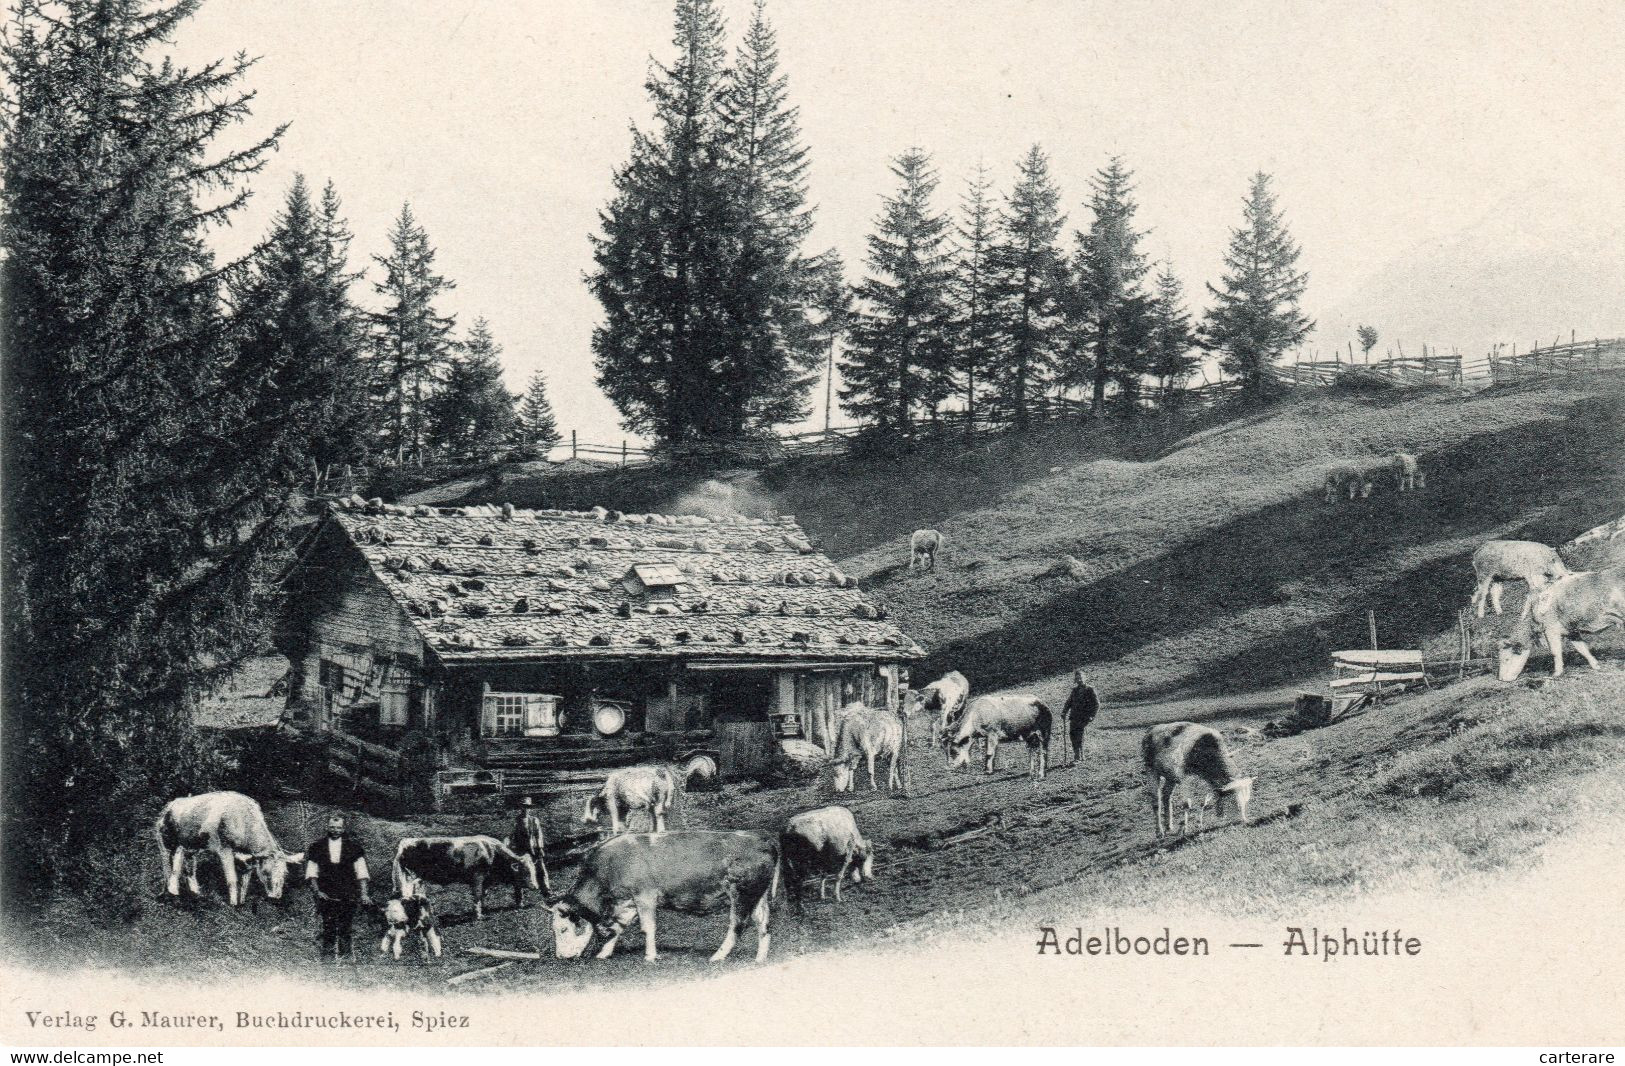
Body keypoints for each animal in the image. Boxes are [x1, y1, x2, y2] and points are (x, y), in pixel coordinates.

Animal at [155, 786, 305, 903]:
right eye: (266, 871)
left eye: (285, 872)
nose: (276, 896)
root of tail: (170, 805)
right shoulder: (224, 849)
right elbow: (232, 879)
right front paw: (233, 904)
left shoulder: (246, 859)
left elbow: (245, 882)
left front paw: (241, 903)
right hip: (165, 841)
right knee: (168, 865)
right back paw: (169, 892)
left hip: (190, 846)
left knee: (187, 865)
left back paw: (194, 893)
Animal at [391, 838, 539, 923]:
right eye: (525, 871)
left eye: (534, 870)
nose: (536, 886)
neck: (492, 852)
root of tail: (405, 843)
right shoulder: (478, 877)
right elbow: (478, 895)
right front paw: (478, 915)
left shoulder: (485, 879)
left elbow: (483, 894)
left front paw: (483, 909)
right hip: (409, 877)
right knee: (407, 895)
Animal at [546, 828, 780, 968]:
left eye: (563, 929)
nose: (561, 957)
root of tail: (761, 838)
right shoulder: (628, 903)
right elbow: (618, 927)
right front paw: (604, 953)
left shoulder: (645, 896)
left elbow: (647, 927)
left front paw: (650, 956)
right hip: (758, 895)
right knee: (764, 924)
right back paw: (760, 959)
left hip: (742, 892)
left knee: (737, 924)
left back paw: (718, 956)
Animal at [1495, 565, 1625, 682]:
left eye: (1506, 659)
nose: (1501, 679)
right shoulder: (1571, 630)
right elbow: (1582, 648)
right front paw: (1596, 665)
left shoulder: (1551, 628)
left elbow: (1555, 651)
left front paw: (1556, 673)